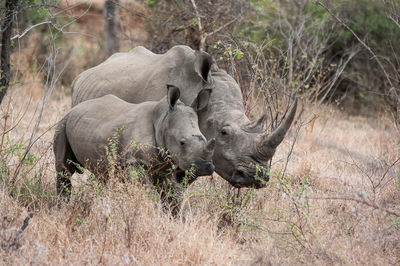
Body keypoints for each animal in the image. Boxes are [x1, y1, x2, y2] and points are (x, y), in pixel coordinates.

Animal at [54, 85, 216, 204]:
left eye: (204, 138)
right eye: (182, 142)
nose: (206, 167)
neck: (162, 120)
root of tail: (73, 108)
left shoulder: (165, 164)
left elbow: (173, 194)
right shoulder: (136, 162)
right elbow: (148, 192)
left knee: (103, 174)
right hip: (63, 123)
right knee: (63, 169)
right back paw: (63, 206)